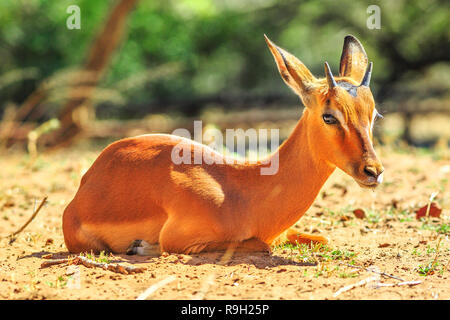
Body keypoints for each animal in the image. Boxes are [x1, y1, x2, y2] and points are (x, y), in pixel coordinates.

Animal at [62, 35, 384, 255]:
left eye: (374, 114)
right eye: (329, 115)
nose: (373, 171)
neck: (243, 193)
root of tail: (85, 183)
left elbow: (323, 237)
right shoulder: (182, 239)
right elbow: (261, 245)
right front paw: (140, 246)